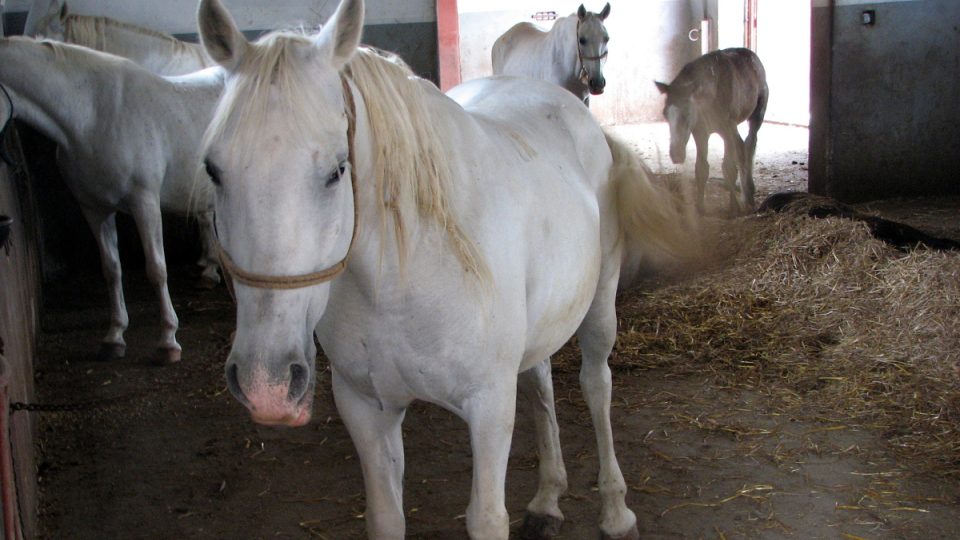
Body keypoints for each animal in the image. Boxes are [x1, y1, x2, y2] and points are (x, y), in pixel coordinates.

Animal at [0, 38, 223, 362]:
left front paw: (168, 340)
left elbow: (157, 269)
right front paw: (114, 336)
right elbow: (111, 269)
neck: (91, 115)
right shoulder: (94, 208)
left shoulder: (144, 202)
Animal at [197, 0, 688, 536]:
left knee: (596, 385)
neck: (399, 280)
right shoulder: (366, 409)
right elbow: (386, 517)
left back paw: (616, 512)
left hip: (599, 303)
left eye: (336, 170)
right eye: (213, 170)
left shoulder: (490, 409)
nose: (266, 384)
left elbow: (487, 517)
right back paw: (546, 499)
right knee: (540, 385)